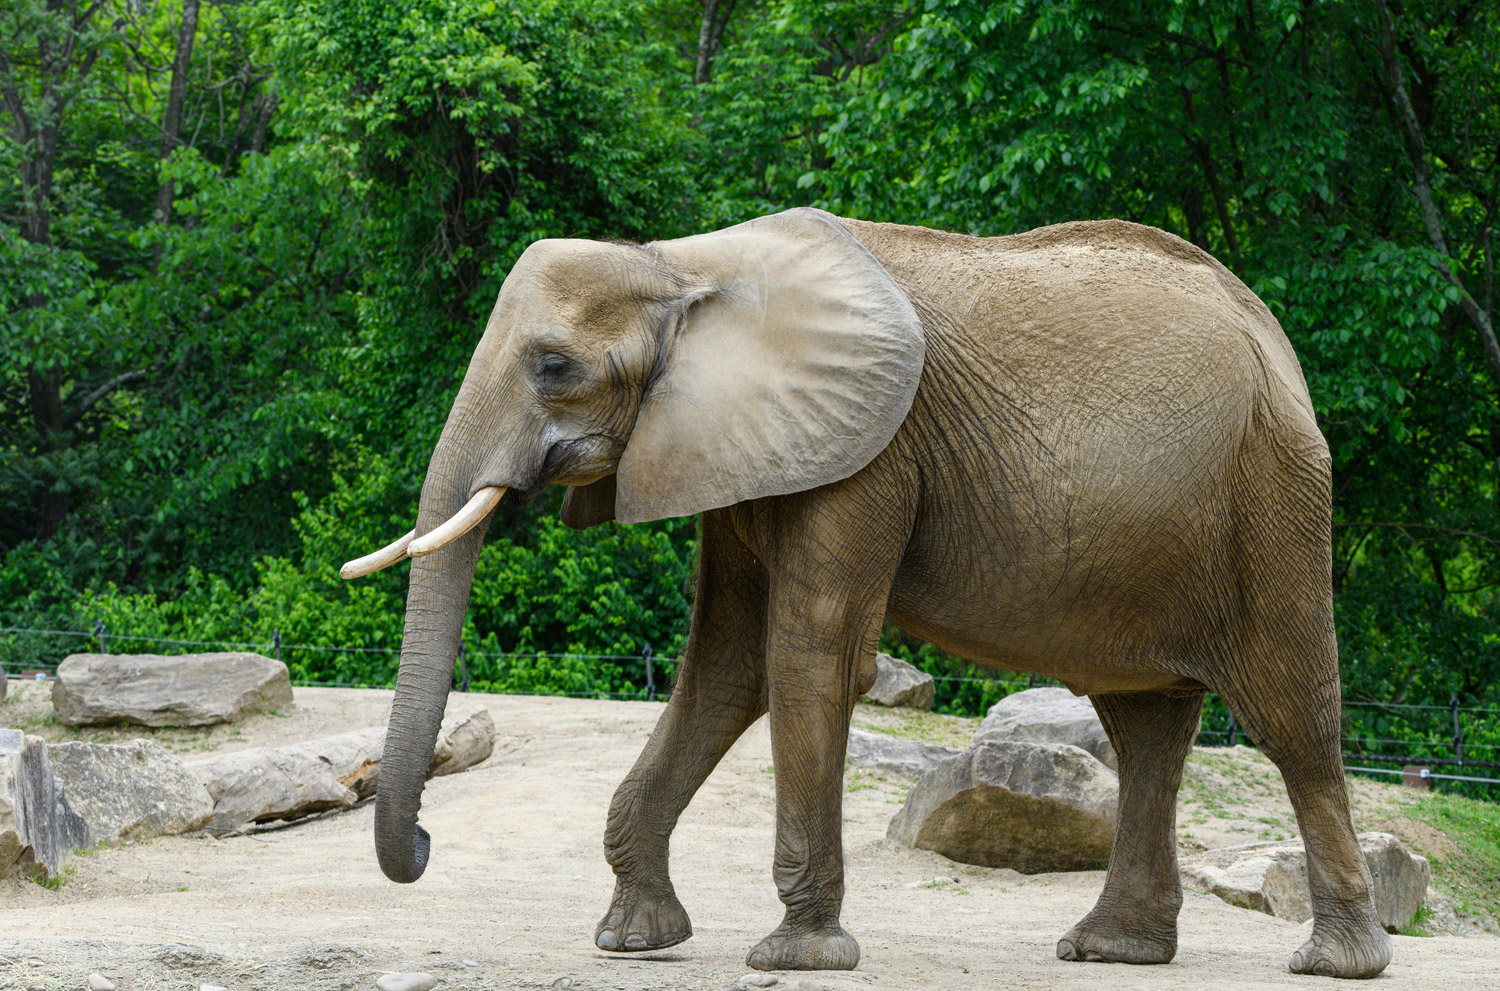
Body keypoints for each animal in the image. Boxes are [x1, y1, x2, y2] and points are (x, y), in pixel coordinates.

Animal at [341, 208, 1392, 979]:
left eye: (554, 366)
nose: (424, 839)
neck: (683, 267)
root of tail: (1276, 342)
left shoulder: (869, 459)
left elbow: (806, 657)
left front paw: (796, 955)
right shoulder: (744, 454)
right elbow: (724, 668)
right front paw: (633, 940)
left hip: (1272, 499)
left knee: (1293, 716)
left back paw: (1334, 962)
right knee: (1144, 726)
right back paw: (1113, 950)